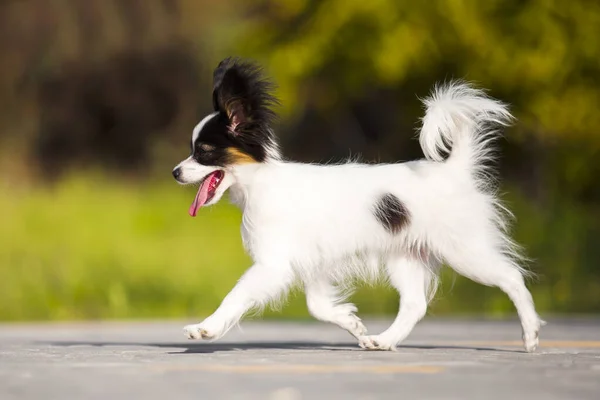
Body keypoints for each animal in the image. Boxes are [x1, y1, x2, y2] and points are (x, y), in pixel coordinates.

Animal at [172, 57, 544, 352]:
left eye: (203, 152)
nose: (175, 172)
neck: (261, 183)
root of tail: (454, 170)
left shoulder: (272, 265)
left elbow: (236, 296)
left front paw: (206, 328)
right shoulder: (313, 263)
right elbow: (318, 306)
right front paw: (352, 323)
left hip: (464, 250)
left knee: (512, 277)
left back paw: (530, 335)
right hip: (405, 256)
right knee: (415, 305)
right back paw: (384, 340)